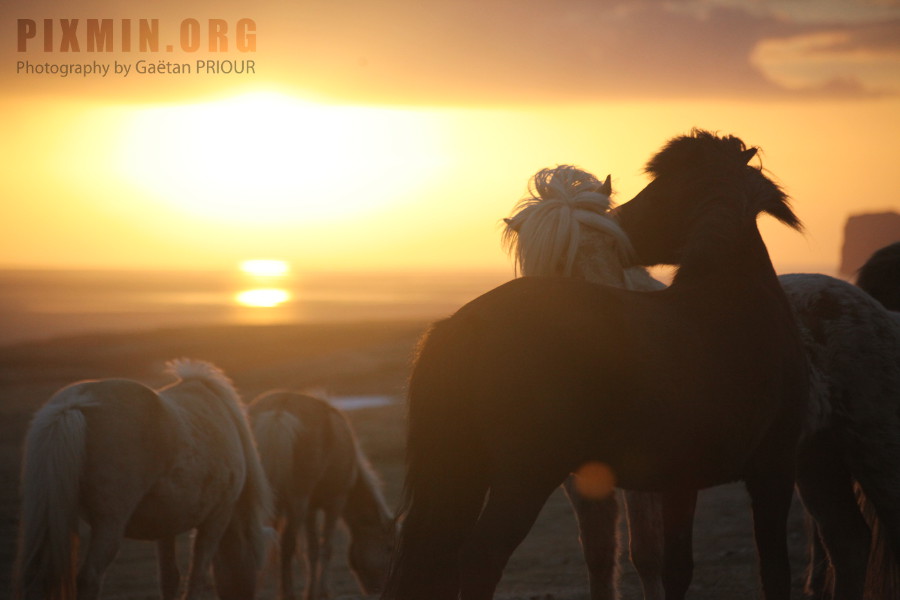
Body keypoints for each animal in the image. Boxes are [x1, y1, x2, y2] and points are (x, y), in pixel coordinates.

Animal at [14, 358, 272, 600]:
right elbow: (196, 577)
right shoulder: (217, 517)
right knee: (89, 578)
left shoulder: (168, 523)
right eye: (255, 567)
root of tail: (75, 405)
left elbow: (170, 577)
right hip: (110, 525)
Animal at [250, 392, 398, 600]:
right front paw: (322, 592)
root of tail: (279, 410)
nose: (377, 590)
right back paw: (288, 593)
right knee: (287, 544)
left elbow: (312, 549)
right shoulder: (335, 502)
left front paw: (311, 592)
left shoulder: (311, 508)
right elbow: (326, 548)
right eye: (389, 547)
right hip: (298, 501)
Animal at [380, 131, 808, 600]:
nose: (624, 222)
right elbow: (773, 569)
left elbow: (671, 565)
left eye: (657, 188)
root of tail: (468, 322)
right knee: (480, 557)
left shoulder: (680, 479)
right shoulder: (773, 466)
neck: (732, 298)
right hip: (524, 477)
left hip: (465, 471)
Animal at [502, 165, 900, 600]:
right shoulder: (580, 480)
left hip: (873, 449)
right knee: (848, 543)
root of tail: (873, 309)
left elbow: (647, 554)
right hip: (814, 458)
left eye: (615, 248)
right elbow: (600, 557)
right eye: (561, 259)